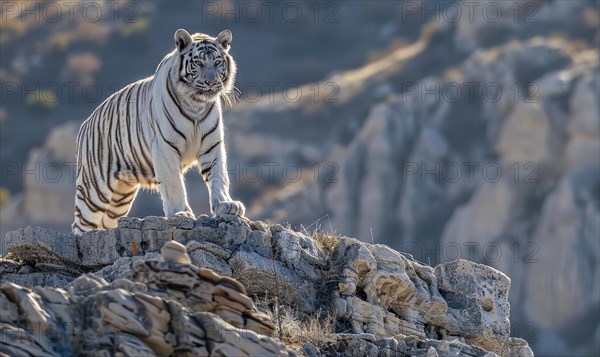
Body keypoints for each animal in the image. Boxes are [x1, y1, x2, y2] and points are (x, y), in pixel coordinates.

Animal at [71, 28, 245, 234]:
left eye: (218, 62)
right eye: (199, 63)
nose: (211, 83)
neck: (196, 104)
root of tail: (85, 124)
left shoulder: (212, 145)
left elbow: (219, 176)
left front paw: (226, 205)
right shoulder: (165, 147)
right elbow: (174, 183)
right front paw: (180, 213)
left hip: (120, 198)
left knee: (107, 222)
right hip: (94, 191)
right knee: (80, 225)